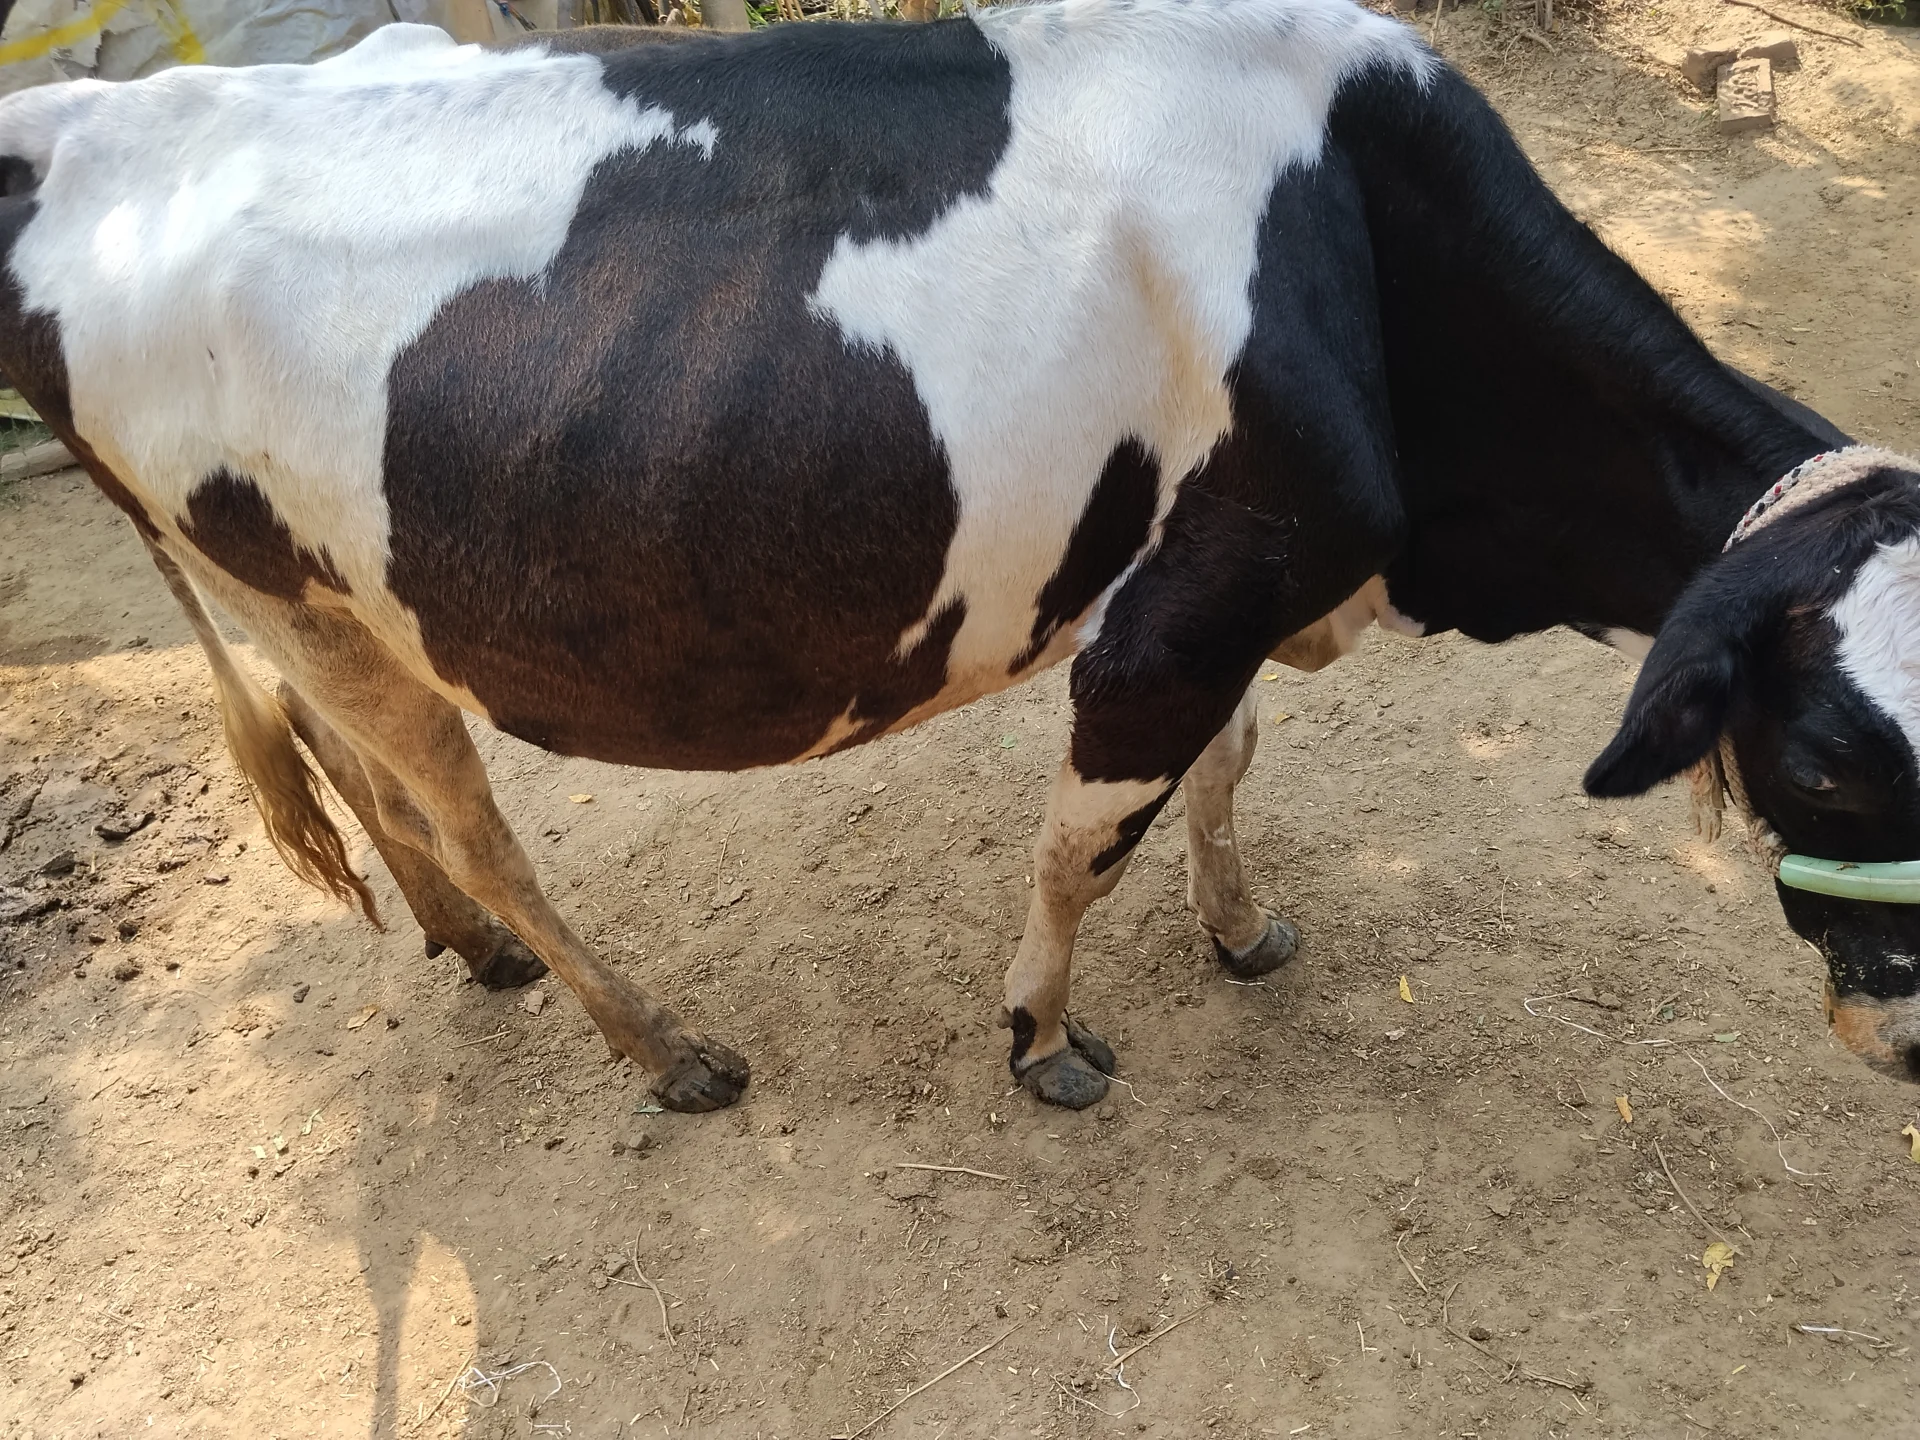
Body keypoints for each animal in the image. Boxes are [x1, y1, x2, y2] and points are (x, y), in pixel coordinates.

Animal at [2, 0, 1916, 1113]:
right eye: (1828, 766)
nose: (1909, 1043)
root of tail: (92, 126)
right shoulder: (1186, 610)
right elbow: (1088, 844)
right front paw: (1043, 1040)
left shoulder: (1234, 584)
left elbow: (1226, 777)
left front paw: (1240, 932)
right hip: (298, 585)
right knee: (460, 809)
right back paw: (658, 1044)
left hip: (304, 602)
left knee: (370, 785)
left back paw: (474, 955)